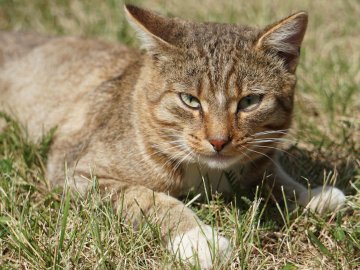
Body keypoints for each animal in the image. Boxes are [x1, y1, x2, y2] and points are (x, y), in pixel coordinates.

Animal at [0, 4, 346, 270]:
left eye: (249, 101)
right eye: (190, 100)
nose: (219, 141)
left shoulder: (255, 158)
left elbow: (272, 174)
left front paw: (311, 195)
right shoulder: (76, 170)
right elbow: (148, 199)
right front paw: (199, 239)